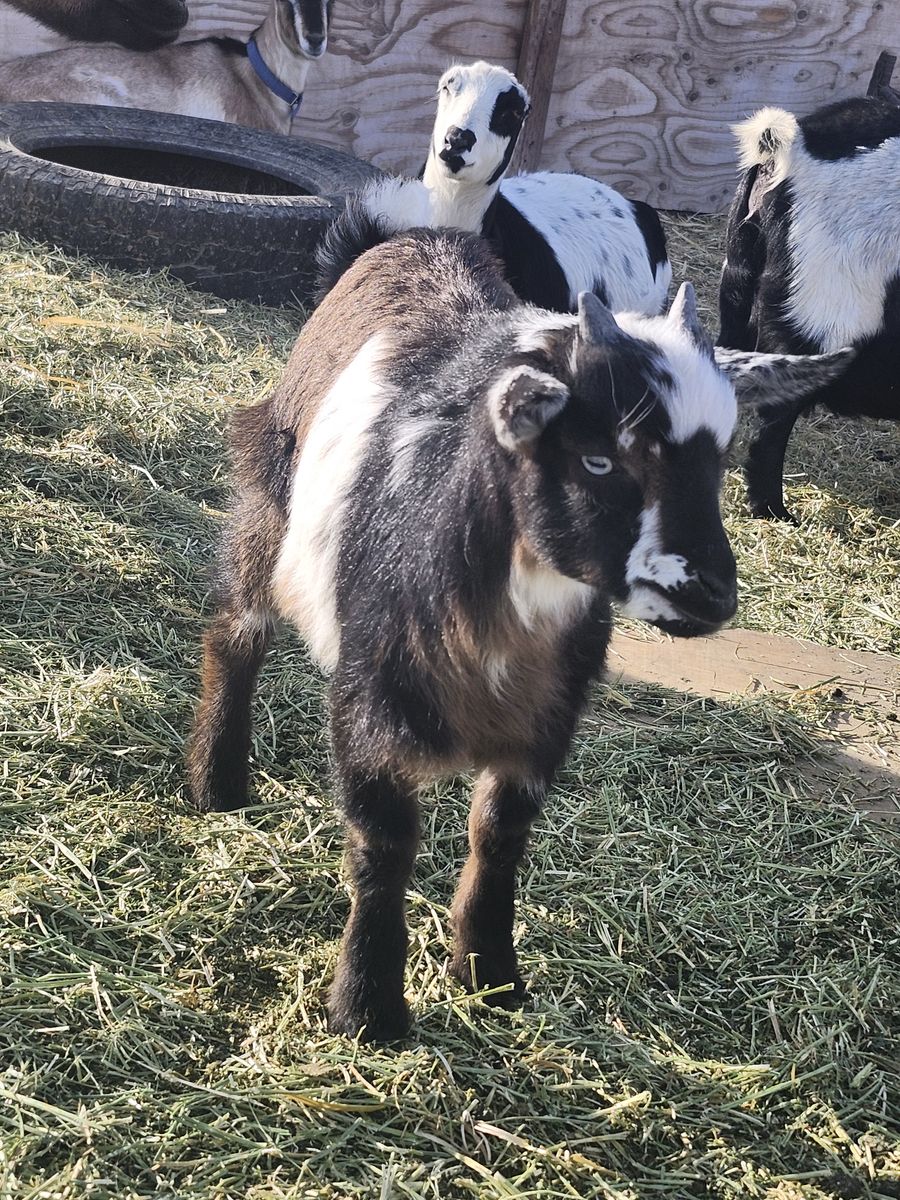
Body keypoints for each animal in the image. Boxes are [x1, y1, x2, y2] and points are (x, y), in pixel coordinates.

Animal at [187, 203, 852, 1042]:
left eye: (719, 461)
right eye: (599, 459)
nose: (710, 595)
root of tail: (403, 237)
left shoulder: (547, 718)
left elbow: (499, 834)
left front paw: (489, 975)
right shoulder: (371, 698)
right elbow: (384, 845)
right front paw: (367, 1008)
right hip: (268, 500)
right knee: (236, 632)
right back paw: (216, 783)